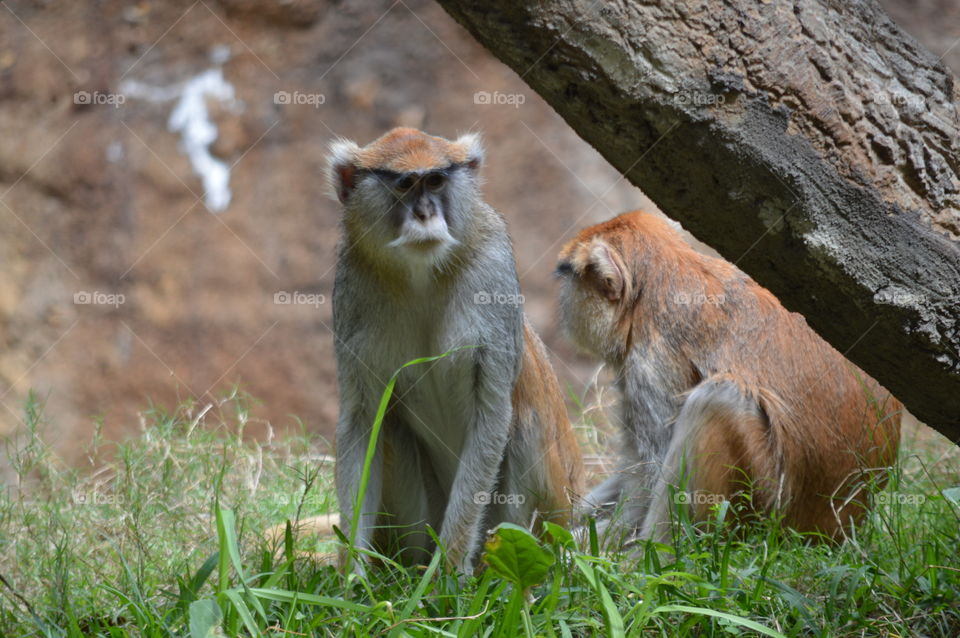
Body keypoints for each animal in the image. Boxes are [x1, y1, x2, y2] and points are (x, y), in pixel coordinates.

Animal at [327, 127, 583, 573]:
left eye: (435, 181)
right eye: (404, 184)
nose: (425, 213)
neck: (420, 275)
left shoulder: (493, 270)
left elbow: (492, 413)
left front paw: (447, 573)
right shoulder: (351, 285)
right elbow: (363, 422)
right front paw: (351, 576)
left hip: (547, 519)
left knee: (524, 423)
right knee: (390, 426)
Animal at [555, 210, 901, 545]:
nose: (562, 304)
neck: (663, 277)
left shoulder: (652, 360)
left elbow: (646, 481)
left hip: (767, 506)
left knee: (719, 399)